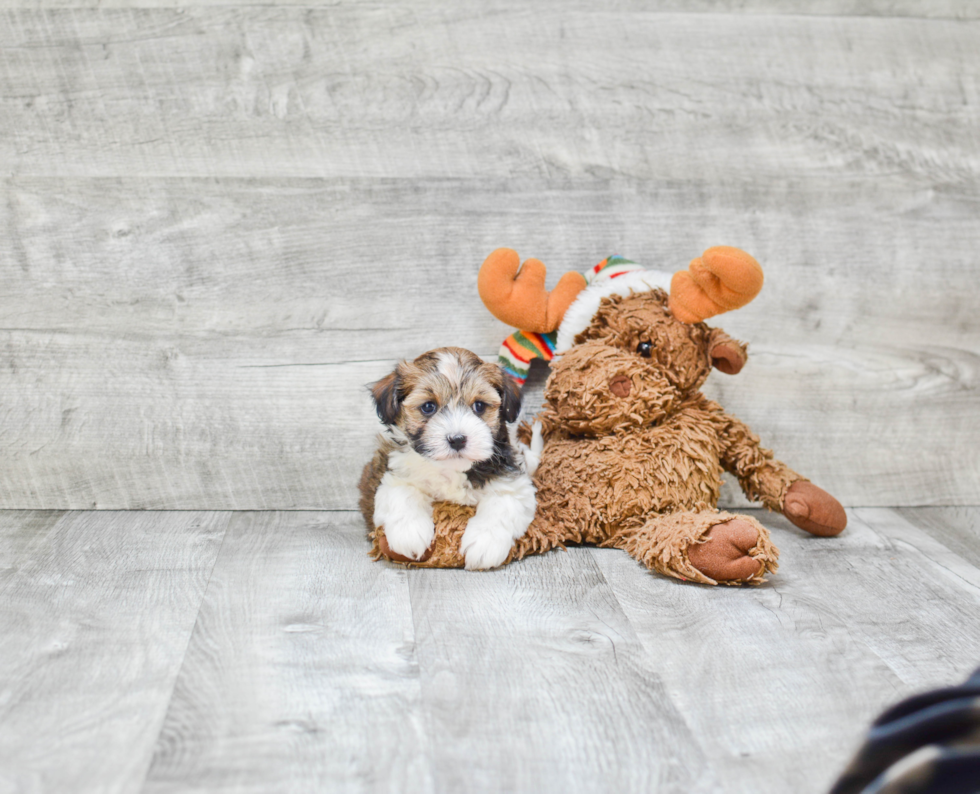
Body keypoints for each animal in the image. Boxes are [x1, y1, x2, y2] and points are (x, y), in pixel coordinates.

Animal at [360, 346, 536, 568]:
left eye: (479, 406)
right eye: (428, 407)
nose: (457, 439)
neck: (451, 470)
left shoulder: (514, 483)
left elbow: (502, 505)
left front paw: (485, 543)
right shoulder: (395, 475)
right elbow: (402, 494)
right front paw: (409, 533)